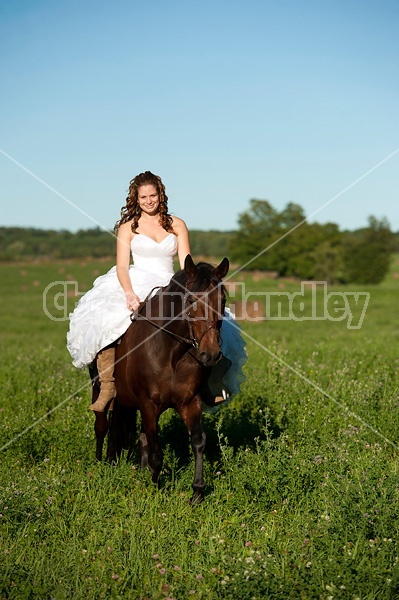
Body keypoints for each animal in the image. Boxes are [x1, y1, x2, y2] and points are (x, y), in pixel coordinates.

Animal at [89, 253, 230, 502]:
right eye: (191, 300)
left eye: (222, 300)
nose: (211, 354)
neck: (172, 352)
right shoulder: (148, 404)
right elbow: (156, 449)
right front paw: (156, 488)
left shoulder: (190, 402)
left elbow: (198, 441)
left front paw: (197, 491)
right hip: (103, 392)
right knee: (102, 425)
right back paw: (101, 463)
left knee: (136, 435)